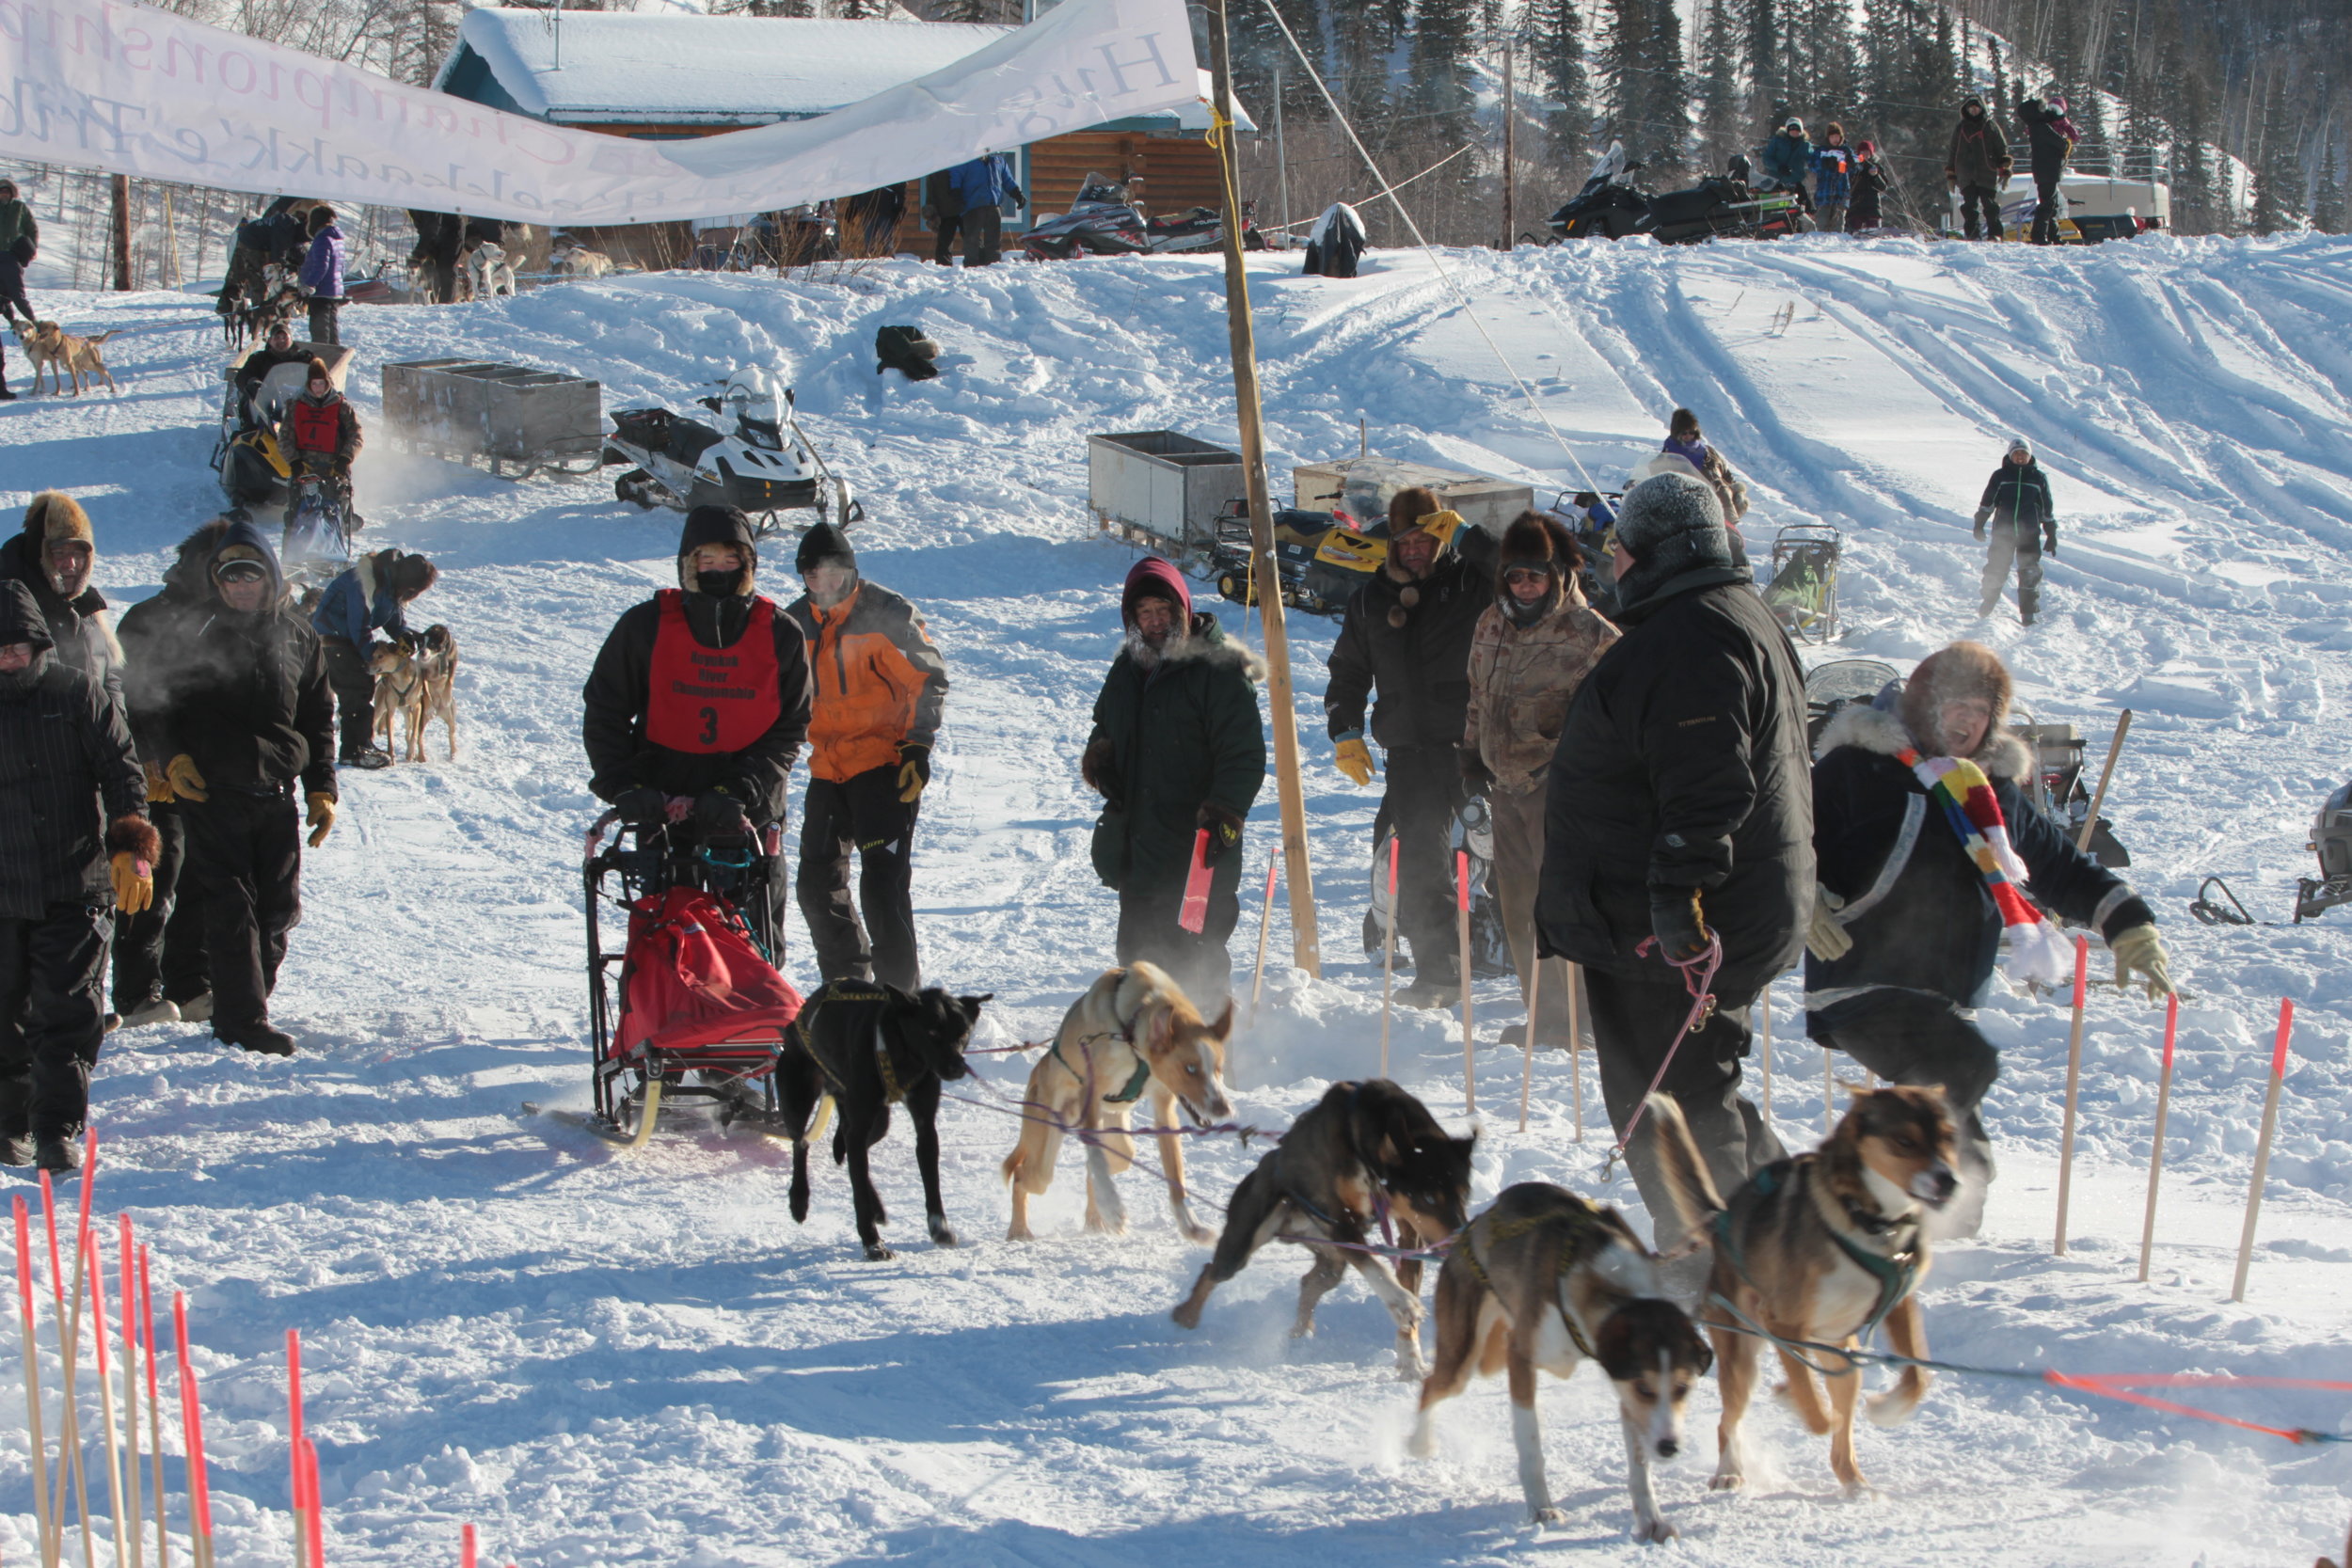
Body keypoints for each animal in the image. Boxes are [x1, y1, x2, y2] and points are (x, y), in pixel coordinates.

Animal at [1002, 963, 1242, 1241]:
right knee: (1024, 1176)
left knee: (1098, 1167)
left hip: (1119, 1143)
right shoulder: (1093, 1094)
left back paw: (1095, 1218)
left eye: (1218, 1069)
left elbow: (1175, 1175)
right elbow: (1095, 1155)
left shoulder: (1163, 1107)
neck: (1130, 1031)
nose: (1224, 1109)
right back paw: (1019, 1228)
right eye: (1190, 1068)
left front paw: (1189, 1223)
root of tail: (1037, 1072)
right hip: (1045, 1148)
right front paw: (1111, 1204)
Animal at [1171, 1085, 1468, 1382]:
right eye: (1429, 1197)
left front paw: (1411, 1361)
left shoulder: (1408, 1238)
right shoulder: (1342, 1222)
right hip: (1242, 1246)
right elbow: (1379, 1271)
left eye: (1464, 1194)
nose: (1460, 1238)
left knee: (1310, 1282)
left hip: (1332, 1262)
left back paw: (1298, 1333)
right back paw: (1186, 1315)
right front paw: (1402, 1303)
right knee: (1212, 1270)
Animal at [1402, 1104, 1722, 1542]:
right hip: (1465, 1355)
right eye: (1645, 1387)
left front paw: (1650, 1519)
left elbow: (1639, 1467)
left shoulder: (1625, 1390)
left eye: (1683, 1388)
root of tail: (1469, 1229)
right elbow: (1531, 1444)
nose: (1670, 1447)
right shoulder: (1522, 1359)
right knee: (1433, 1386)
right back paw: (1418, 1443)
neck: (1608, 1282)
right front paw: (1540, 1507)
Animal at [1656, 1085, 1966, 1504]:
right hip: (1742, 1356)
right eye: (1905, 1141)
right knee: (1729, 1421)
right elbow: (1815, 1409)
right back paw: (1730, 1471)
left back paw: (1855, 1482)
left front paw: (1887, 1411)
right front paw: (1794, 1399)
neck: (1866, 1222)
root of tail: (1721, 1220)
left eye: (1949, 1138)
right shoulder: (1784, 1325)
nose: (1948, 1181)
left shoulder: (1900, 1304)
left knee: (1841, 1439)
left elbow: (1917, 1376)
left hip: (1842, 1357)